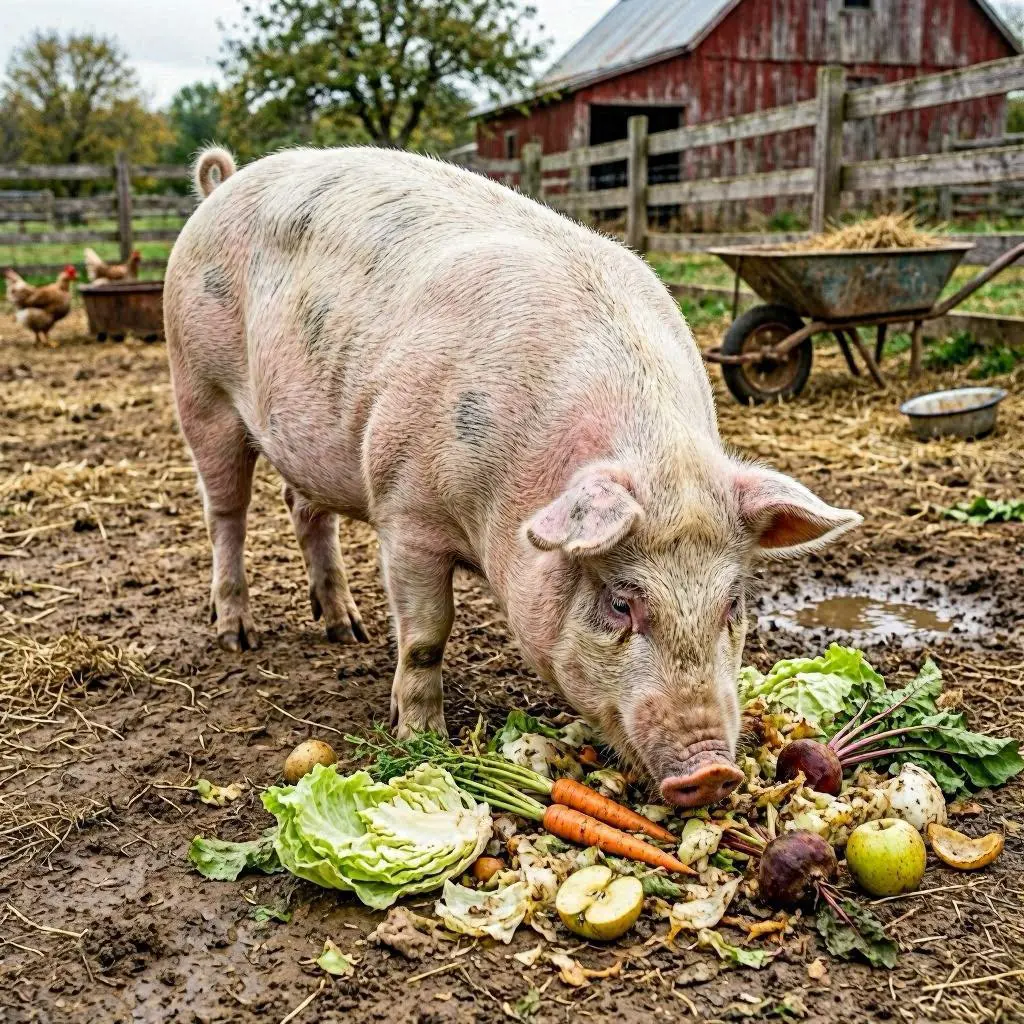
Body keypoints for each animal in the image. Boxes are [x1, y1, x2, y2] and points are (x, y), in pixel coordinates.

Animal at [164, 145, 861, 808]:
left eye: (733, 603)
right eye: (621, 603)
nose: (714, 770)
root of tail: (222, 185)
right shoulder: (404, 511)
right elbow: (426, 637)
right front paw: (422, 742)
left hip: (304, 441)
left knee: (303, 509)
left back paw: (346, 628)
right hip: (199, 388)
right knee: (225, 512)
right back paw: (238, 636)